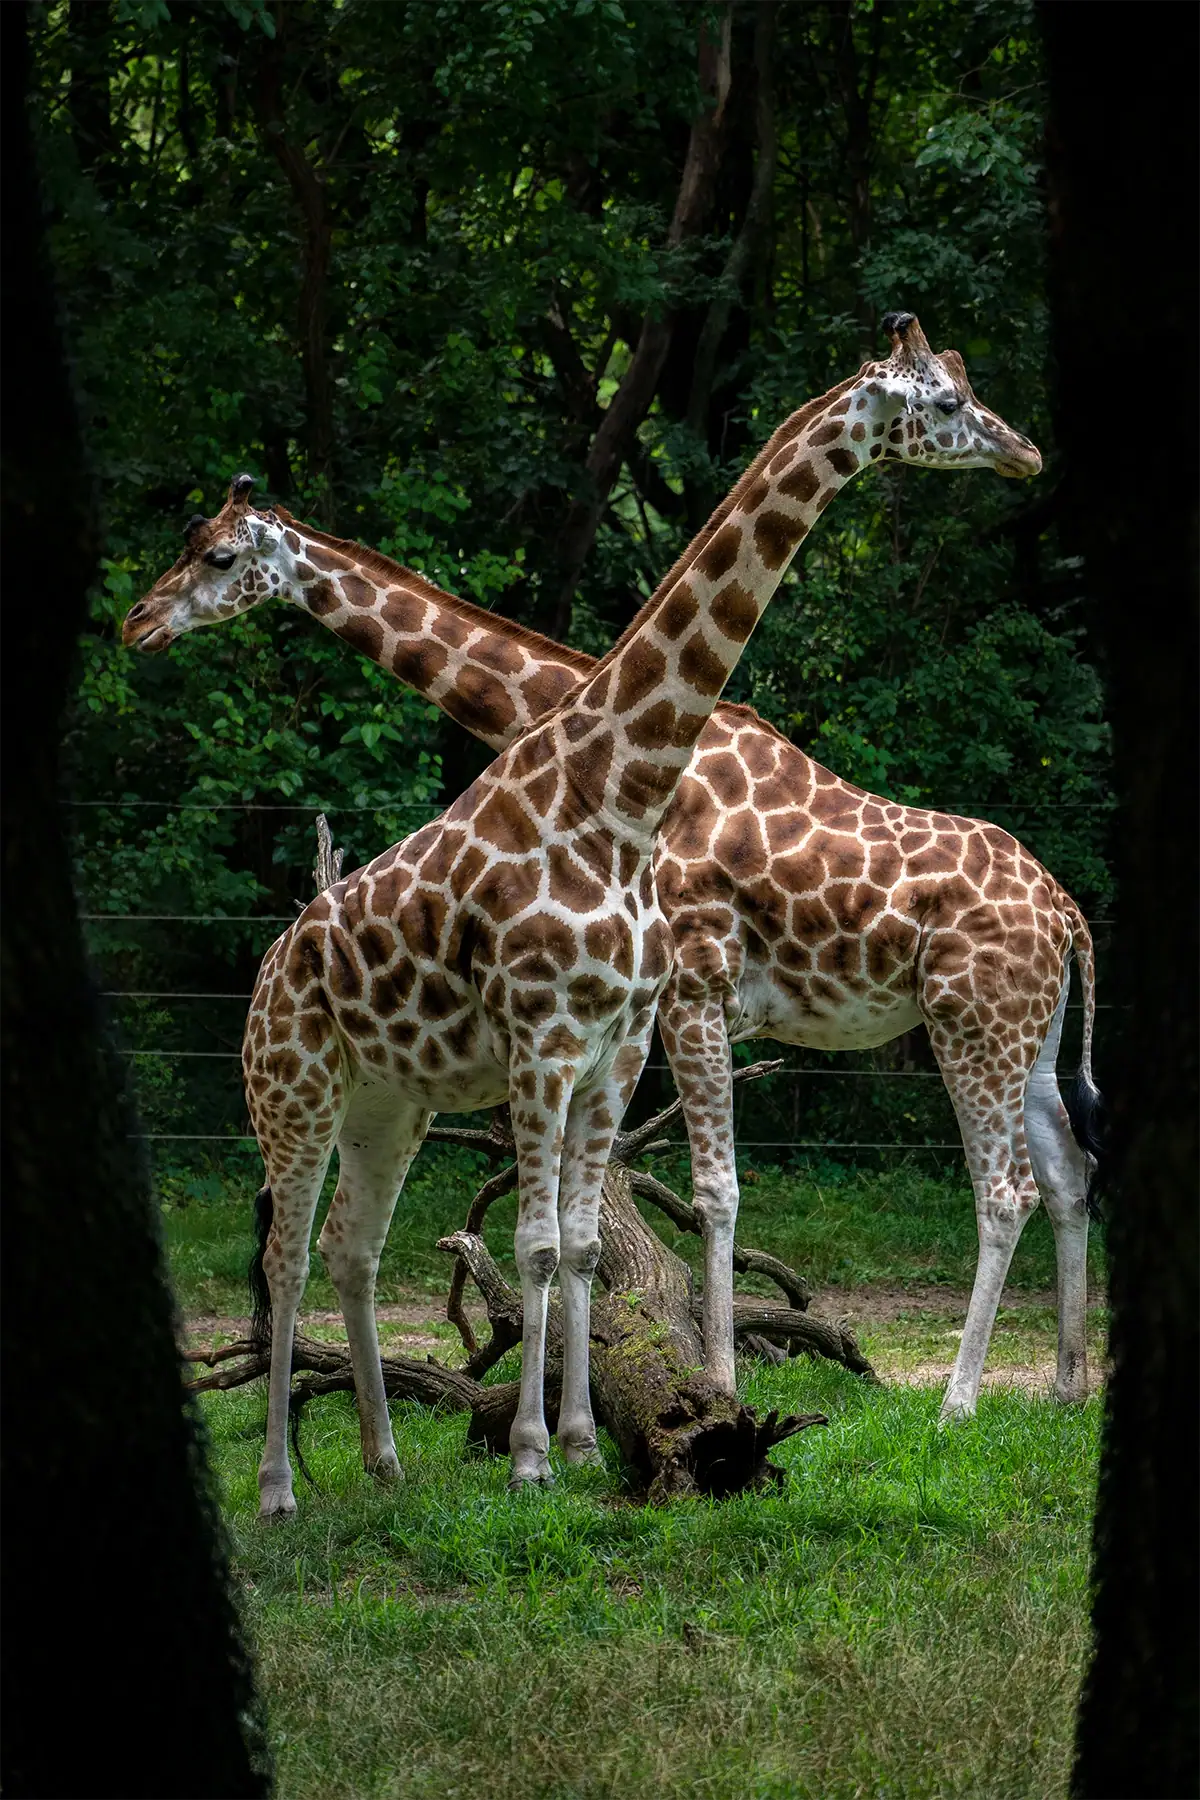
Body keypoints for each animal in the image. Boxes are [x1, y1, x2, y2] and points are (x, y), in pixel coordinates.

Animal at [127, 314, 1079, 1477]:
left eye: (216, 555)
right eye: (950, 397)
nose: (138, 621)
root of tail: (1069, 911)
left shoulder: (689, 987)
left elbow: (704, 1196)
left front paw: (704, 1384)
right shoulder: (649, 1010)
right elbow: (651, 1206)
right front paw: (645, 1398)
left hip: (971, 1024)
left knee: (1005, 1190)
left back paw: (958, 1402)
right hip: (1026, 1038)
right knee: (1068, 1178)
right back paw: (1063, 1387)